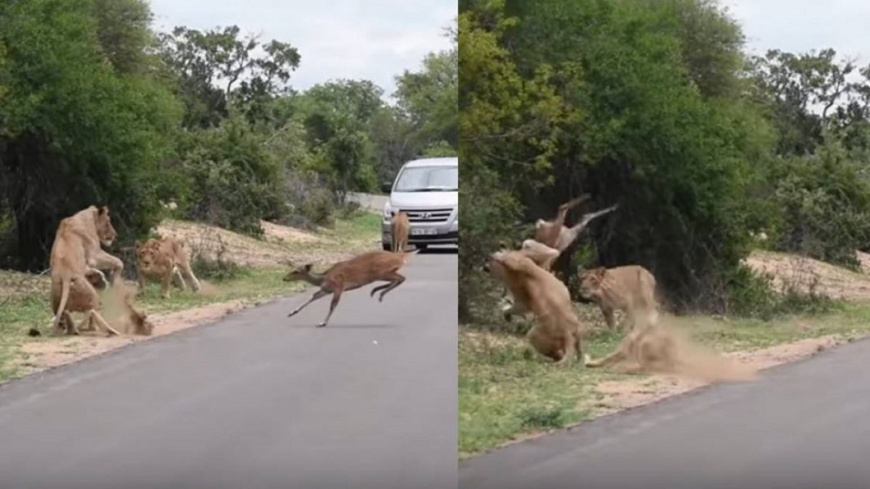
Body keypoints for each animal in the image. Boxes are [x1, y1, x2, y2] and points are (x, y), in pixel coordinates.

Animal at [282, 249, 418, 328]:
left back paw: (379, 293)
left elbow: (333, 304)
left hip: (382, 272)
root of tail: (401, 258)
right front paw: (292, 312)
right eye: (292, 269)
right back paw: (377, 292)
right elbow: (313, 296)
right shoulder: (327, 289)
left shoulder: (338, 286)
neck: (323, 278)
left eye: (296, 271)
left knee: (401, 278)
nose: (284, 278)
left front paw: (323, 322)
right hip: (383, 273)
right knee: (399, 279)